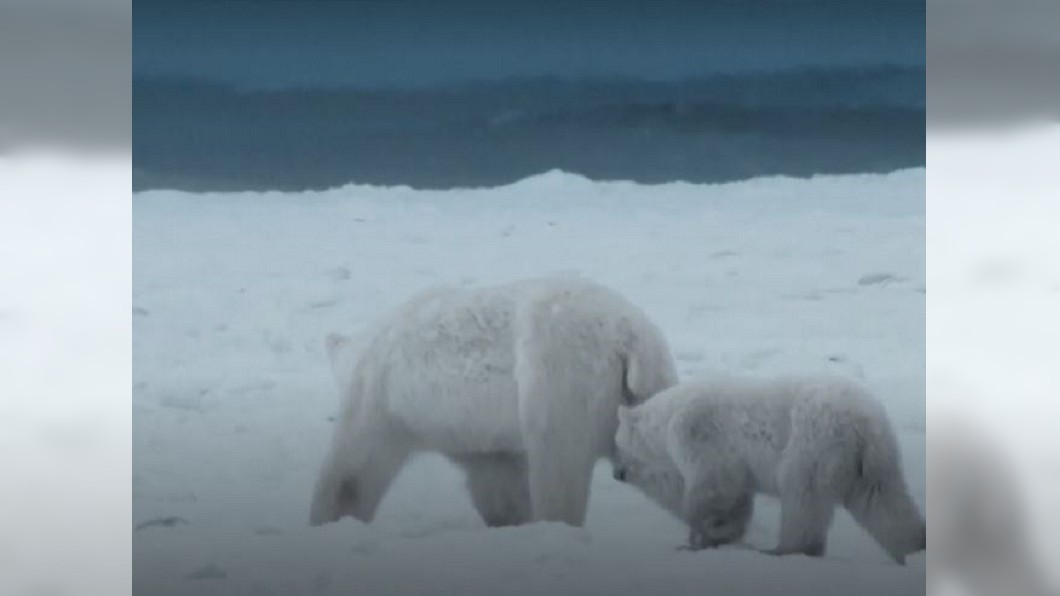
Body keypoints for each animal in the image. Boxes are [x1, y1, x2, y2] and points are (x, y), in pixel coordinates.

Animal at [309, 275, 678, 528]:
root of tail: (628, 339)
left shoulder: (381, 400)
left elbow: (350, 473)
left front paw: (328, 521)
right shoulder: (479, 438)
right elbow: (498, 482)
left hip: (557, 379)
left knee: (559, 464)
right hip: (646, 386)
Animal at [612, 374, 926, 564]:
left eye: (617, 443)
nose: (616, 473)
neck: (668, 416)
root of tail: (865, 423)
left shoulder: (698, 433)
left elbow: (714, 486)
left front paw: (700, 536)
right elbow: (736, 495)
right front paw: (722, 535)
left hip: (812, 445)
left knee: (802, 499)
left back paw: (783, 549)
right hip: (873, 463)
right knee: (883, 502)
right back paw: (915, 547)